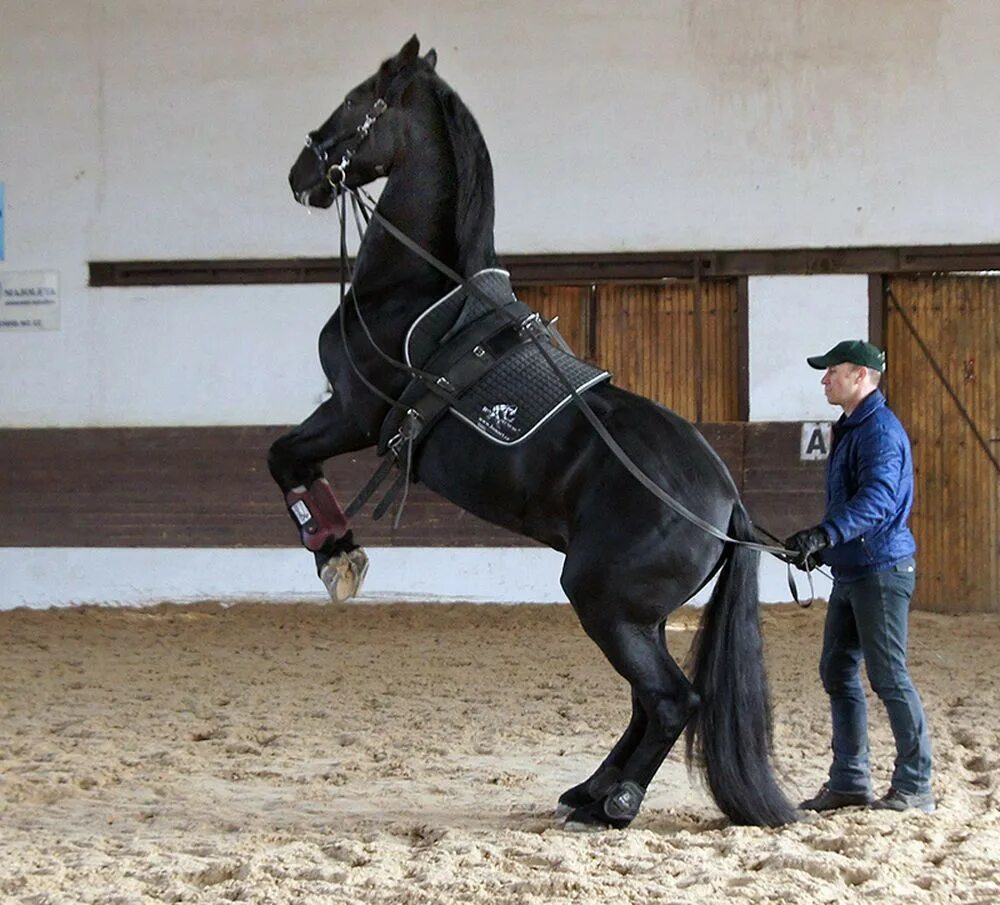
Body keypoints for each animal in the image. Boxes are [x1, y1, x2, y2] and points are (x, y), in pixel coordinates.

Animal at [268, 33, 796, 828]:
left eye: (359, 99)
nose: (302, 173)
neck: (416, 288)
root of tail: (728, 506)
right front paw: (337, 551)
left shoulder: (353, 412)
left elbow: (283, 457)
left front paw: (336, 553)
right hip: (631, 614)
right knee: (647, 703)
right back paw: (590, 790)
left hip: (604, 602)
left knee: (672, 700)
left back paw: (614, 802)